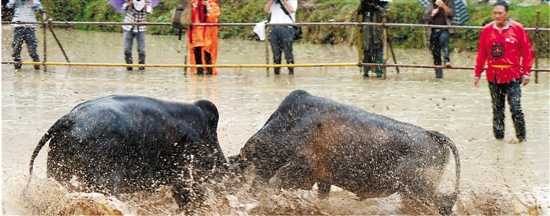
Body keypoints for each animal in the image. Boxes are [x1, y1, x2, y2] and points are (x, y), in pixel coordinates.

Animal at [235, 89, 464, 214]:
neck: (288, 125)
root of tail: (430, 133)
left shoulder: (302, 165)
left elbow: (274, 183)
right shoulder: (322, 179)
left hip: (419, 188)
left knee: (445, 204)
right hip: (412, 193)